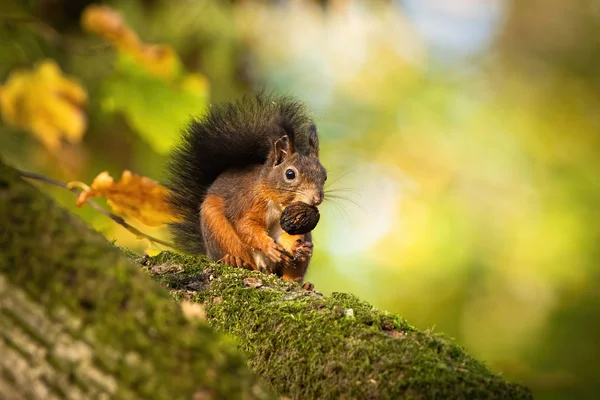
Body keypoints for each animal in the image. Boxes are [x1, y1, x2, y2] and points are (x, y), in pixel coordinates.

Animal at [165, 93, 328, 284]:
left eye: (324, 175)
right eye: (290, 174)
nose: (317, 198)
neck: (277, 203)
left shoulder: (293, 223)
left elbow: (291, 235)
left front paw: (299, 248)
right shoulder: (248, 203)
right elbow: (246, 225)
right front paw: (268, 246)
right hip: (218, 230)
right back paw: (233, 260)